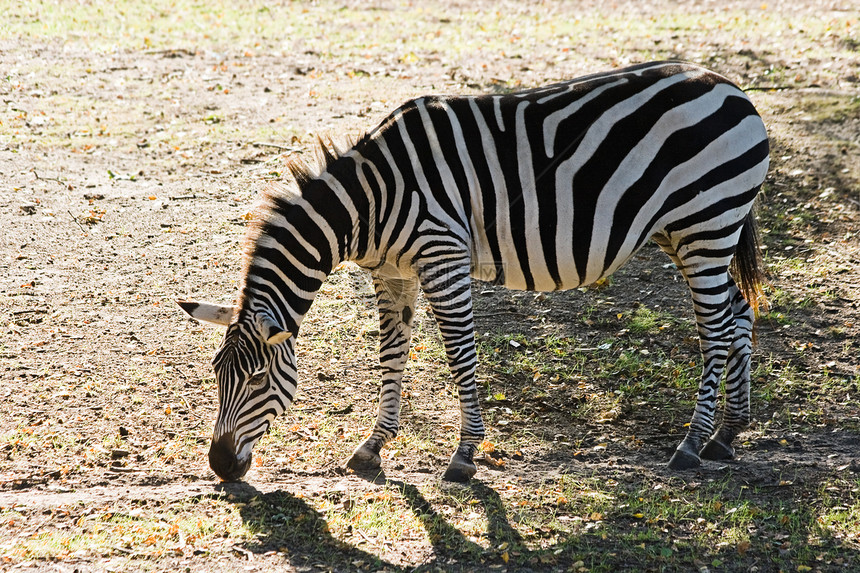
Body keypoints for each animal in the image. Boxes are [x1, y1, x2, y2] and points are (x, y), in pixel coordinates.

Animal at [178, 60, 768, 480]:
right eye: (216, 374)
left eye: (257, 379)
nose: (221, 467)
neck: (371, 202)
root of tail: (729, 87)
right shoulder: (391, 273)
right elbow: (392, 354)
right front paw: (373, 446)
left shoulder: (443, 259)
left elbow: (461, 356)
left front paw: (464, 456)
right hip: (685, 231)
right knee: (738, 314)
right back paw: (727, 434)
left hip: (706, 223)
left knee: (717, 329)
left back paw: (691, 444)